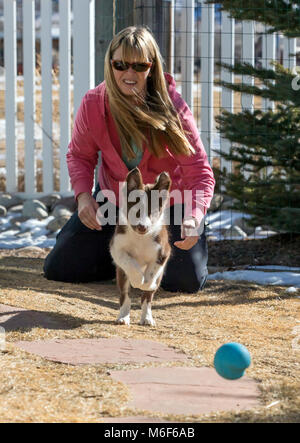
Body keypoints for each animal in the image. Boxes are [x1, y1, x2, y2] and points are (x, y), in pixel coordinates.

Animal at [109, 167, 171, 326]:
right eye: (136, 210)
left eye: (153, 212)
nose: (142, 227)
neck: (141, 237)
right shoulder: (116, 248)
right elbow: (129, 263)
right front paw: (137, 279)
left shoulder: (163, 252)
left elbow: (151, 276)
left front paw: (146, 284)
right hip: (121, 275)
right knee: (125, 295)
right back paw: (123, 317)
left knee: (147, 299)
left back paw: (147, 318)